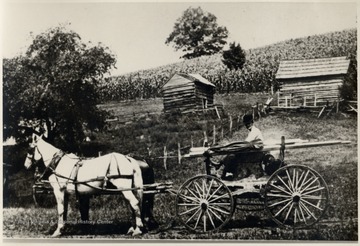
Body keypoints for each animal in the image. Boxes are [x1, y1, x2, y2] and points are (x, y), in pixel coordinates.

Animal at [23, 134, 153, 237]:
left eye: (29, 149)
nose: (25, 166)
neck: (57, 163)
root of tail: (128, 158)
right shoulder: (65, 192)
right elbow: (65, 211)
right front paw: (63, 228)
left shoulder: (58, 190)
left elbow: (60, 210)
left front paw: (57, 231)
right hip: (129, 188)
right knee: (134, 204)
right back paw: (134, 227)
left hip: (124, 187)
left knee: (135, 203)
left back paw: (138, 229)